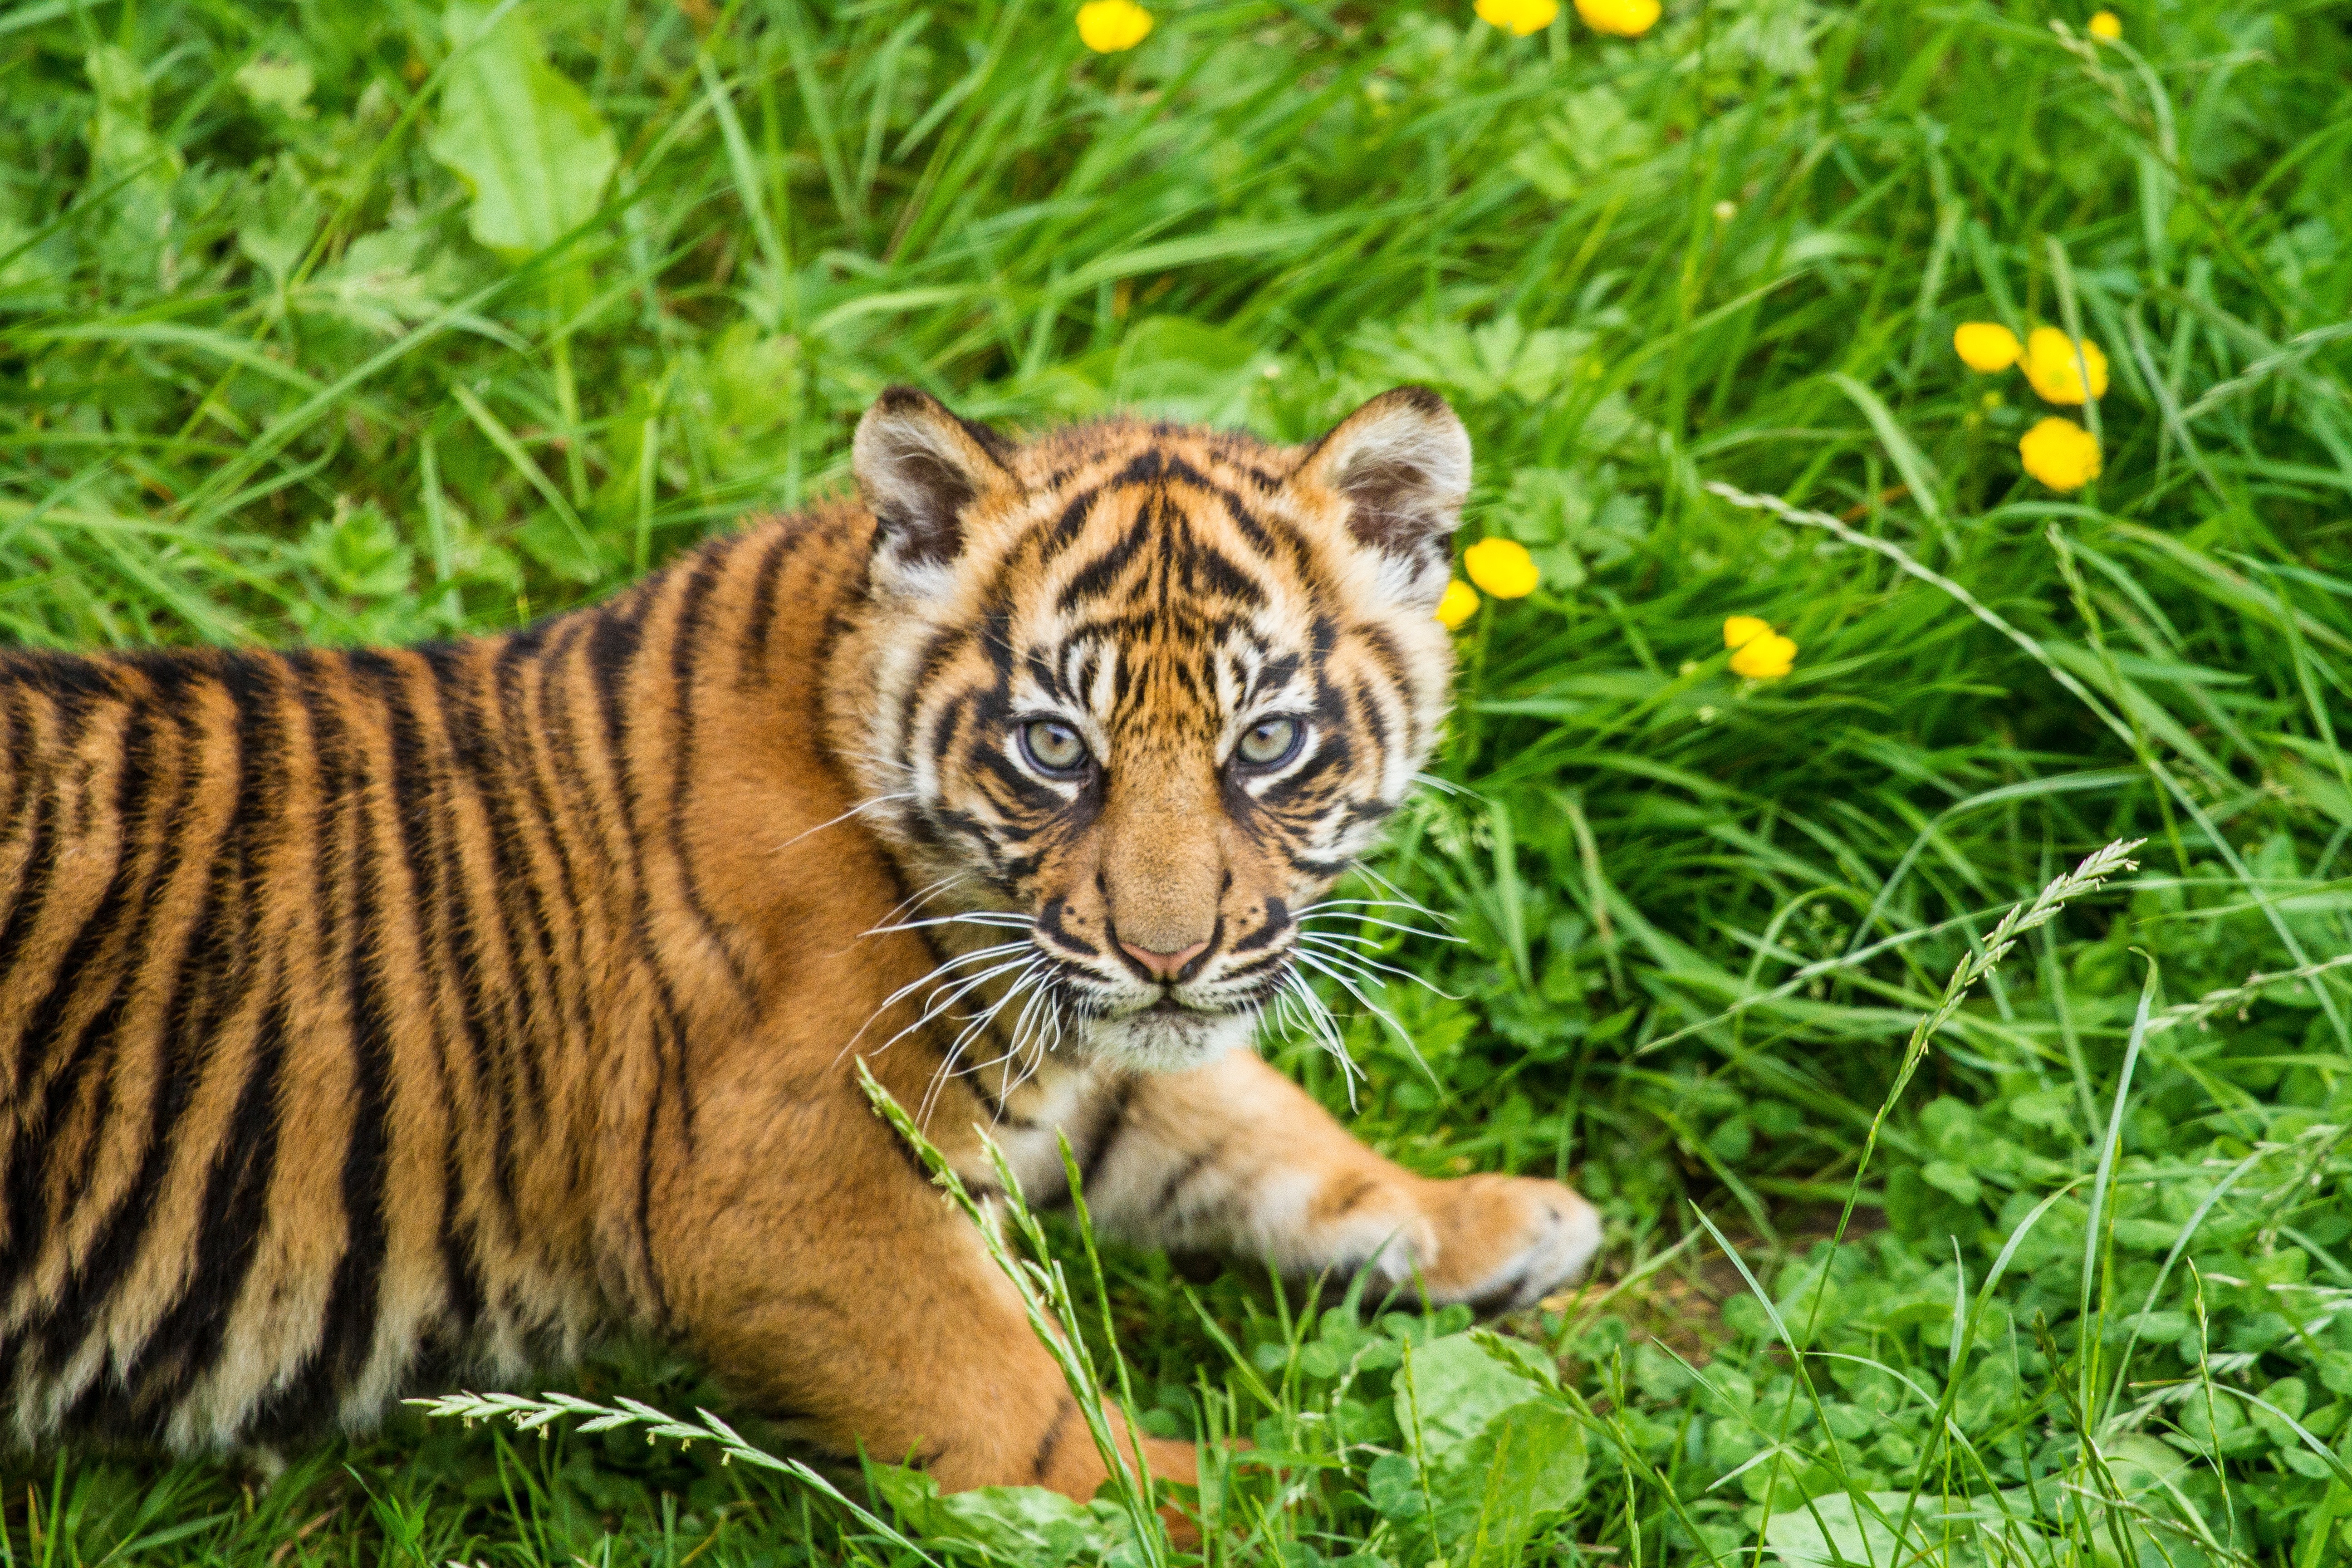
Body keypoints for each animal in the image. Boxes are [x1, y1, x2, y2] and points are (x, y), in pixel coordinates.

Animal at [0, 385, 1599, 1514]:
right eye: (1054, 748)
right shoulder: (789, 1193)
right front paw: (1266, 1510)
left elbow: (1257, 1131)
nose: (1168, 954)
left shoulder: (1085, 1037)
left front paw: (1494, 1220)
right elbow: (1027, 1410)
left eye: (1266, 744)